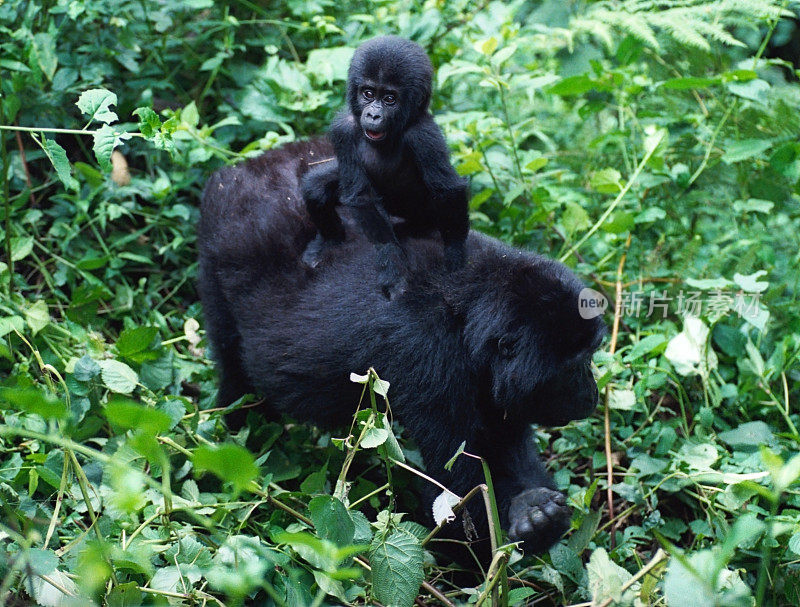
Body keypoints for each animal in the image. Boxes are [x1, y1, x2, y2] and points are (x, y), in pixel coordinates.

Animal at [197, 140, 604, 564]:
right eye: (573, 365)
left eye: (590, 354)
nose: (590, 395)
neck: (468, 307)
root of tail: (241, 169)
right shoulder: (427, 355)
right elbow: (453, 494)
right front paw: (524, 523)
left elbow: (504, 442)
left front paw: (535, 513)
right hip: (216, 244)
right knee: (232, 366)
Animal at [304, 35, 468, 296]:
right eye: (368, 93)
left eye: (390, 98)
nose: (373, 115)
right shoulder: (343, 129)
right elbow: (360, 196)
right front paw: (392, 266)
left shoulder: (424, 135)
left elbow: (447, 190)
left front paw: (455, 257)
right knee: (315, 188)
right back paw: (327, 241)